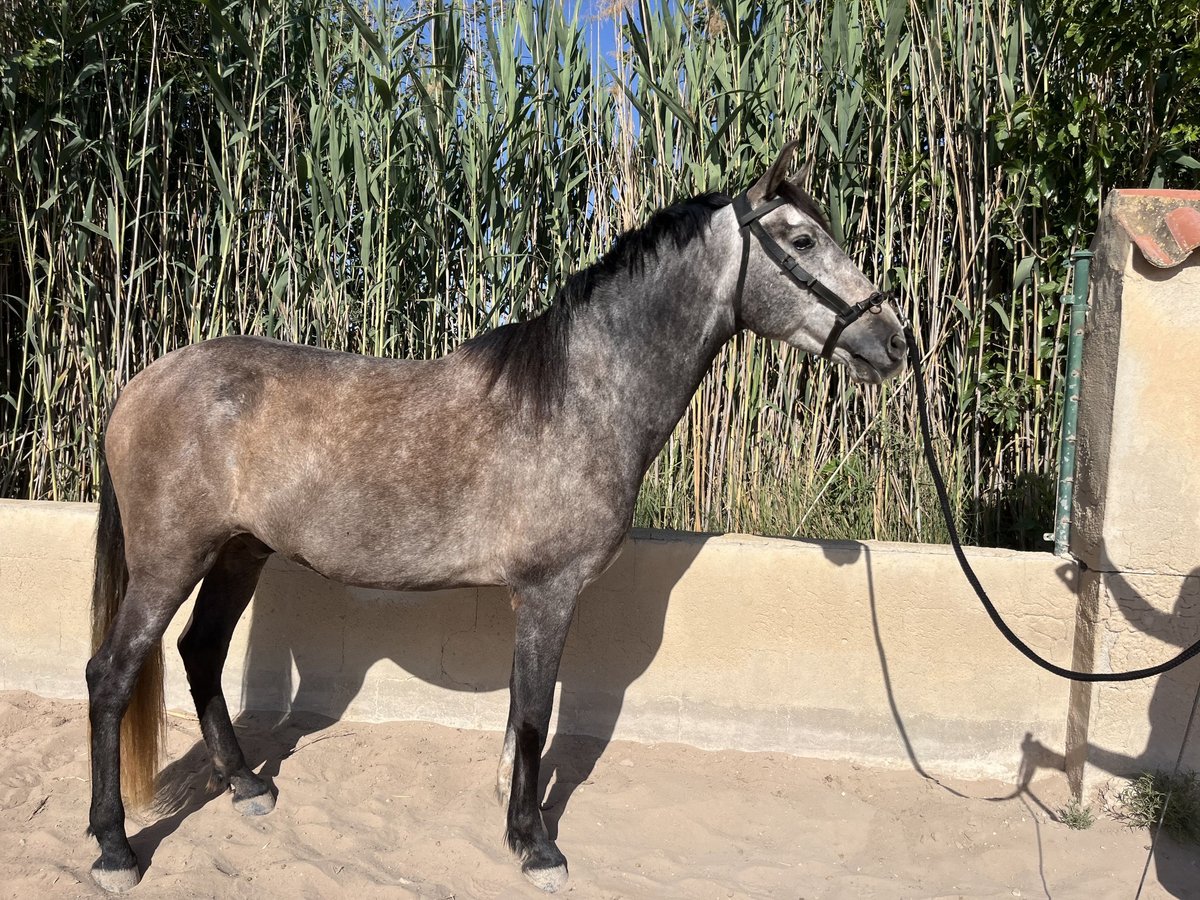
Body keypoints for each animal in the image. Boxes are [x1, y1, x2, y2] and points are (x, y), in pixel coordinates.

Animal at [84, 142, 902, 897]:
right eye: (802, 239)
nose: (895, 340)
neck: (578, 396)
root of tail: (141, 383)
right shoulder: (549, 593)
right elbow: (536, 714)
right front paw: (536, 846)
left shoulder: (533, 600)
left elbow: (519, 714)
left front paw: (512, 817)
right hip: (170, 563)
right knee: (111, 675)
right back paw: (115, 849)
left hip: (237, 554)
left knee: (200, 652)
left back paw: (248, 788)